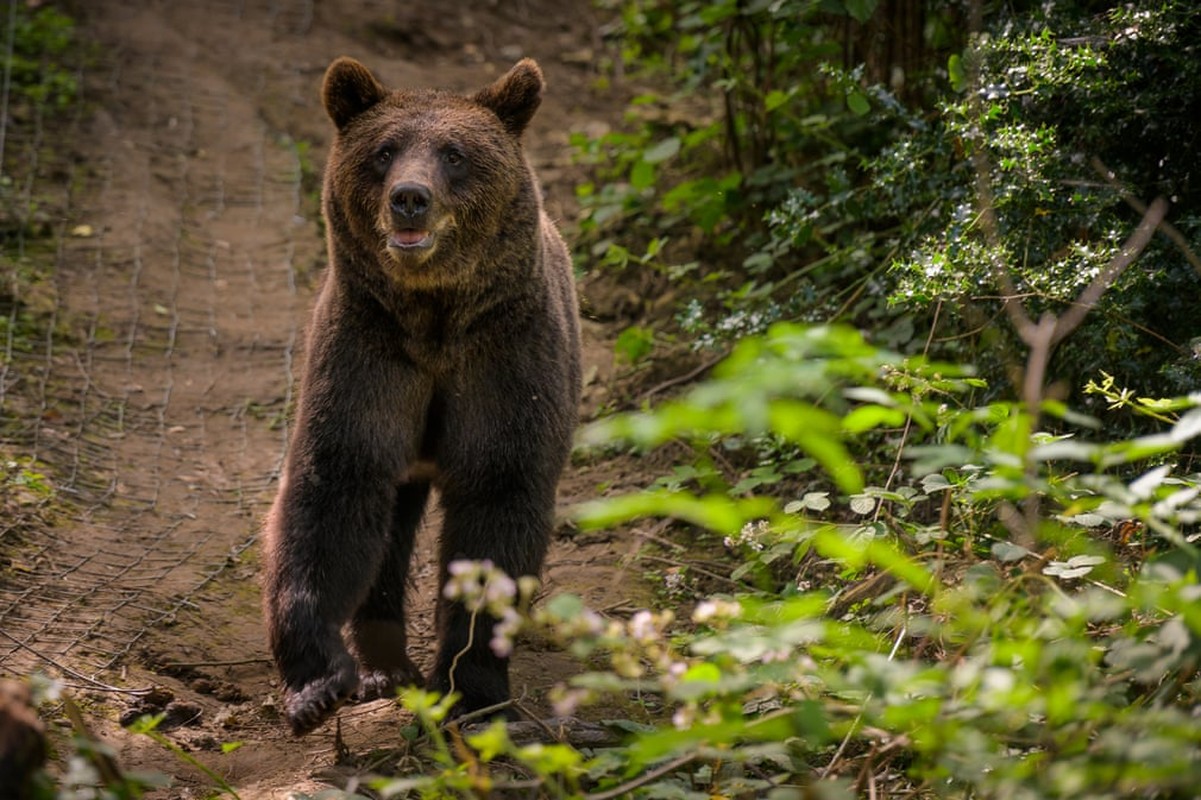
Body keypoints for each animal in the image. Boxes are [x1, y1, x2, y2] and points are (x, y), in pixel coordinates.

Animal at [263, 52, 581, 730]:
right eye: (384, 150)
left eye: (455, 154)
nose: (410, 198)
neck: (434, 319)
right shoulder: (370, 352)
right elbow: (332, 489)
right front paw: (318, 683)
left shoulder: (504, 357)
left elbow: (497, 502)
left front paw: (473, 688)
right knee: (387, 523)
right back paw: (385, 665)